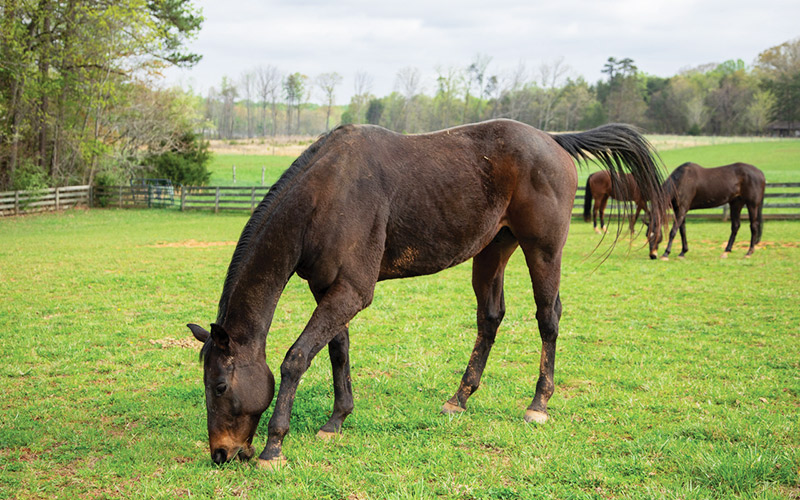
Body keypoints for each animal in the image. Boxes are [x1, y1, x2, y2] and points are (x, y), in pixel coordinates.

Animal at [184, 119, 664, 470]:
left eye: (221, 385)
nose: (221, 453)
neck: (327, 194)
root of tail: (554, 139)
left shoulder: (351, 292)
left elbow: (297, 358)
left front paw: (274, 446)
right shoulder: (329, 290)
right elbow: (338, 351)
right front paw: (337, 419)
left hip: (543, 251)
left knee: (548, 318)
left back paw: (538, 403)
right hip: (493, 250)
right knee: (490, 318)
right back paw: (460, 397)